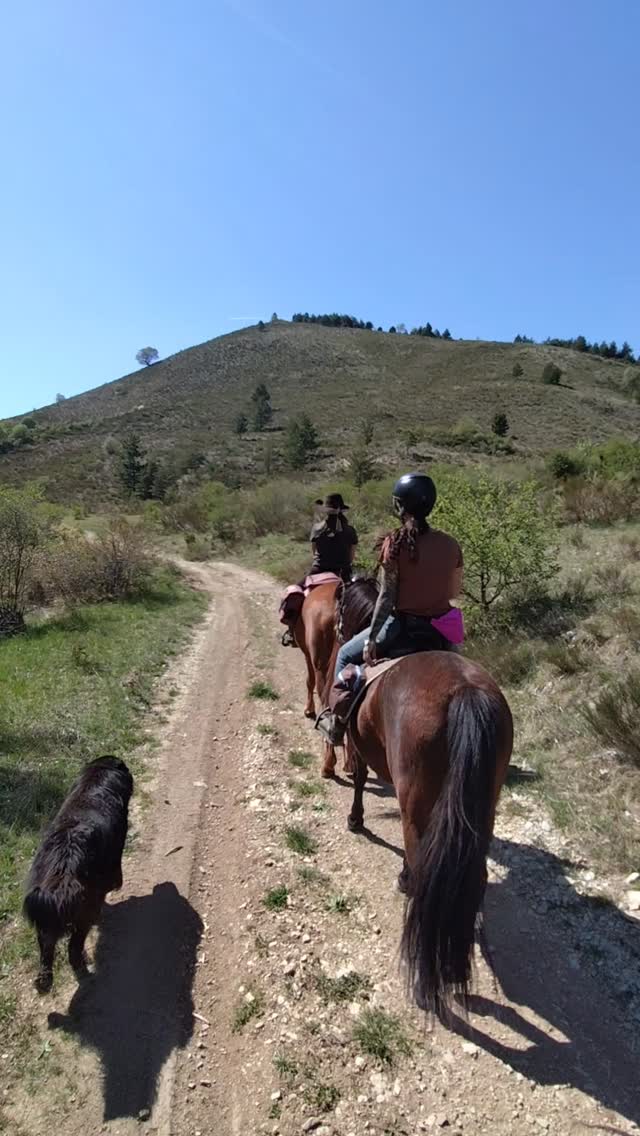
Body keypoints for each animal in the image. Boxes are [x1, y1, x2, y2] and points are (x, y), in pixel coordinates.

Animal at [325, 579, 513, 1016]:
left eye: (341, 605)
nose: (339, 631)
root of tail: (465, 693)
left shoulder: (359, 745)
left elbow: (358, 778)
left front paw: (356, 820)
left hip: (417, 804)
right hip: (483, 808)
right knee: (474, 875)